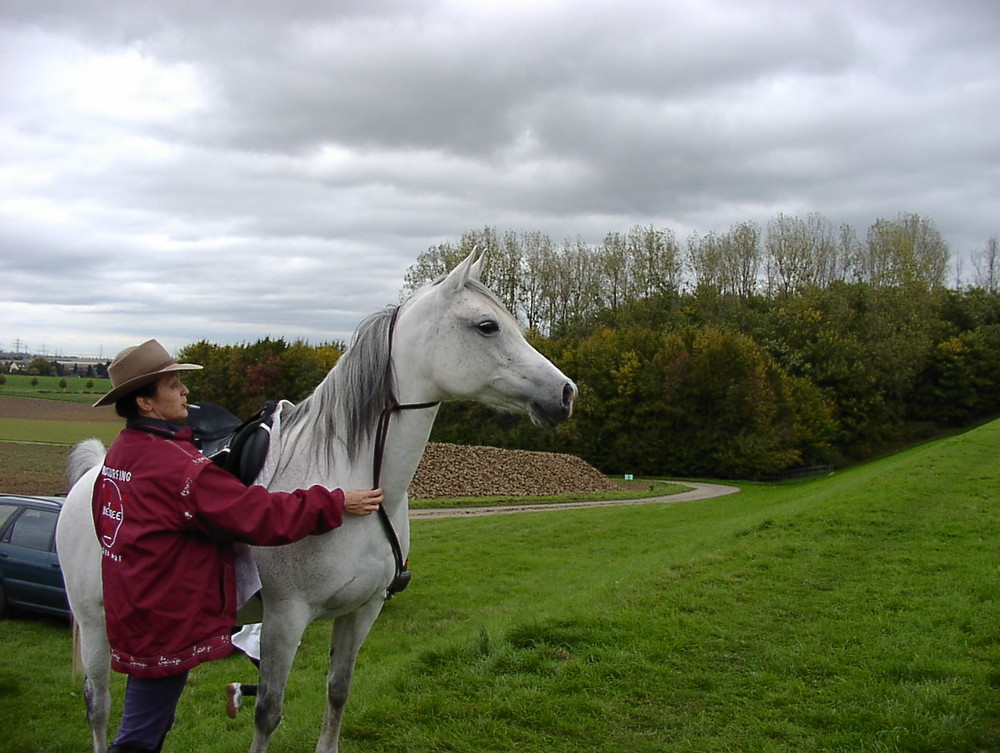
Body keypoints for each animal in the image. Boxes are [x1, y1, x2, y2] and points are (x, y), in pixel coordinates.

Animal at [58, 250, 576, 748]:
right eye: (487, 326)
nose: (566, 392)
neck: (359, 478)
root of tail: (94, 476)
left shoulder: (362, 610)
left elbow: (338, 691)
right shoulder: (285, 619)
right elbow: (267, 713)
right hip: (96, 621)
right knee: (99, 704)